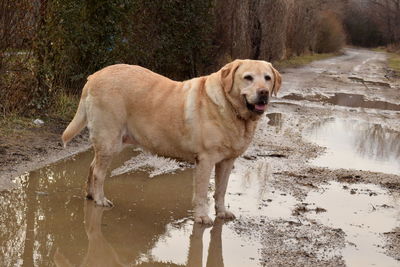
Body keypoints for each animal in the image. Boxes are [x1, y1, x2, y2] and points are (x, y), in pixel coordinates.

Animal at [62, 59, 282, 225]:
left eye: (267, 78)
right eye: (248, 78)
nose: (263, 92)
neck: (232, 110)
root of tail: (93, 77)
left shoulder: (227, 162)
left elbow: (221, 190)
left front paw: (221, 212)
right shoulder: (206, 160)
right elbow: (202, 193)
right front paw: (202, 217)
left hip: (111, 142)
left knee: (92, 166)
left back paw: (90, 195)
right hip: (110, 140)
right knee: (98, 172)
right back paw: (100, 199)